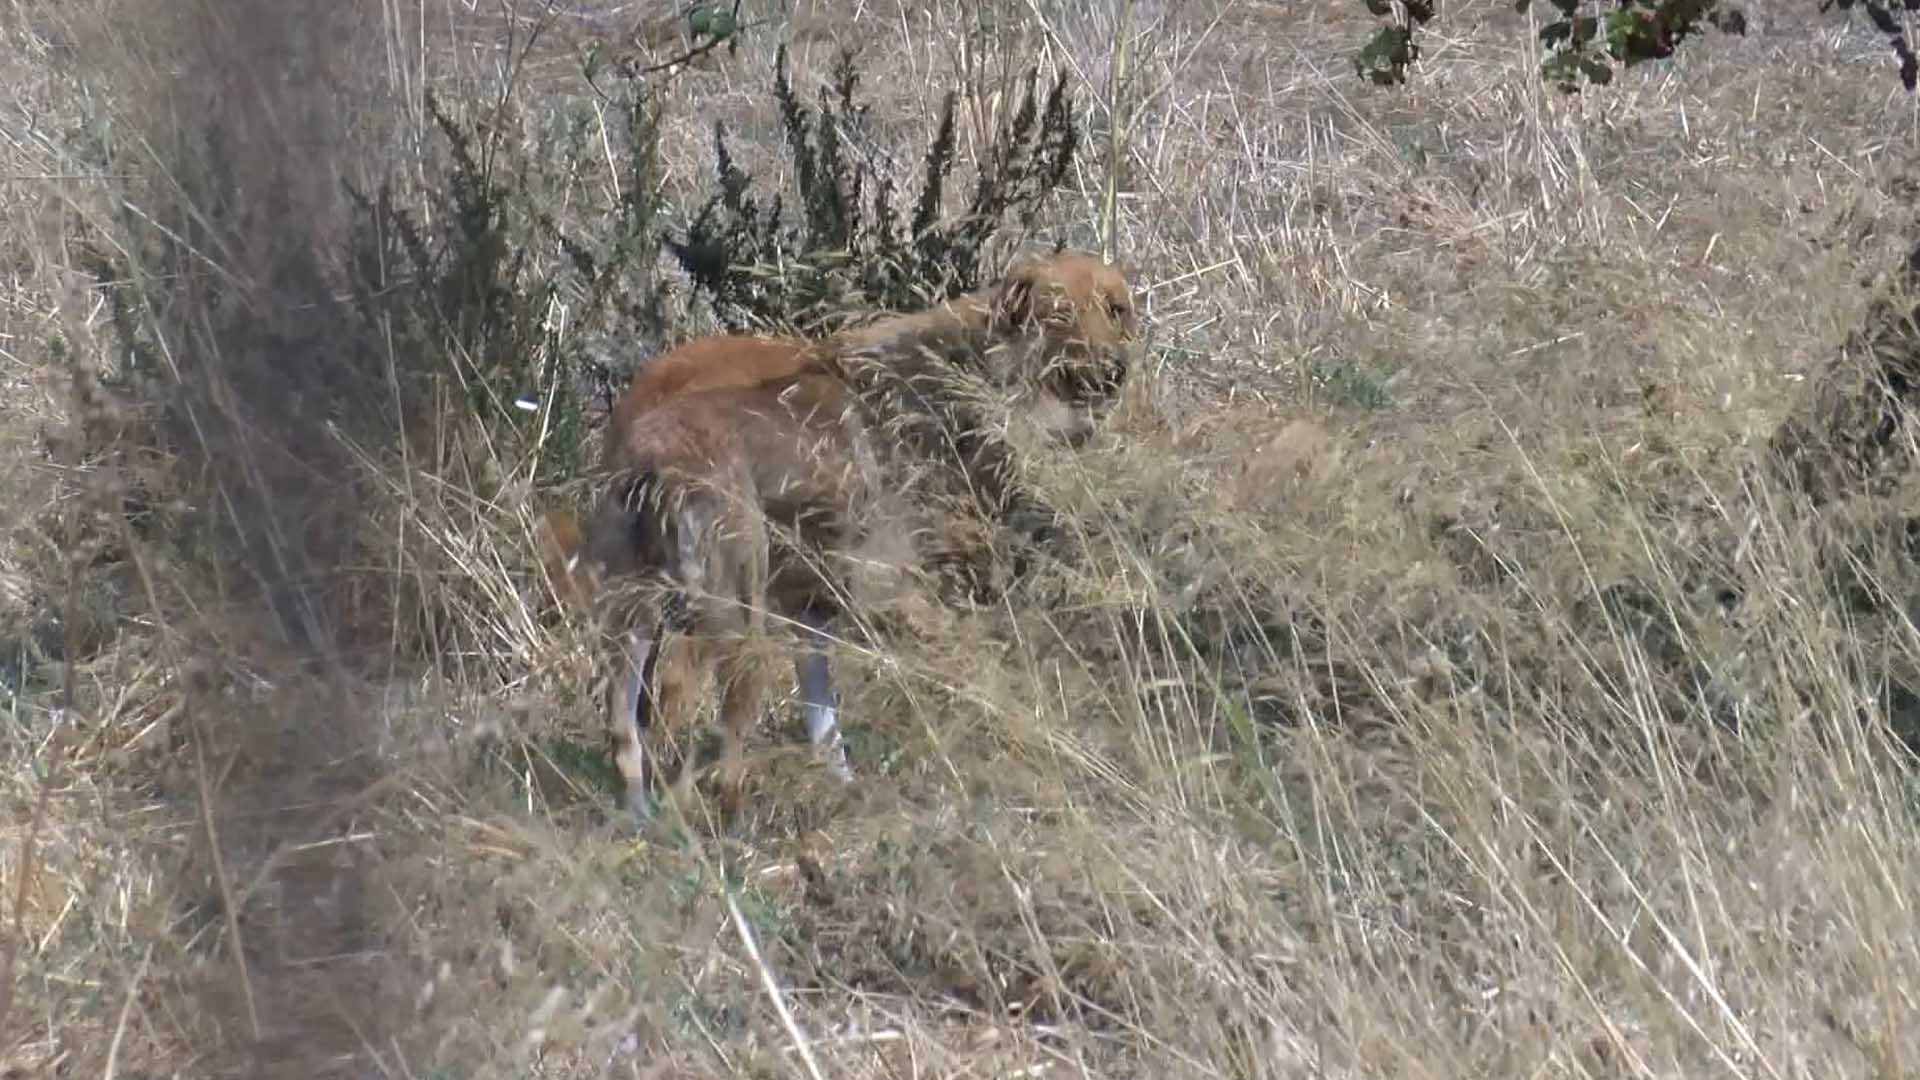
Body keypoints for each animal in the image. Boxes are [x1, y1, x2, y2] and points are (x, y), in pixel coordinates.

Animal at [541, 251, 1136, 822]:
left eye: (1117, 311)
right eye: (1059, 316)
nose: (1115, 372)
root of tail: (645, 440)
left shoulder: (815, 610)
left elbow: (824, 722)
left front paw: (850, 792)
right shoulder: (895, 593)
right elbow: (976, 675)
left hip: (636, 618)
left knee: (626, 726)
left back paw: (646, 819)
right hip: (731, 616)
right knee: (686, 711)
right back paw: (718, 817)